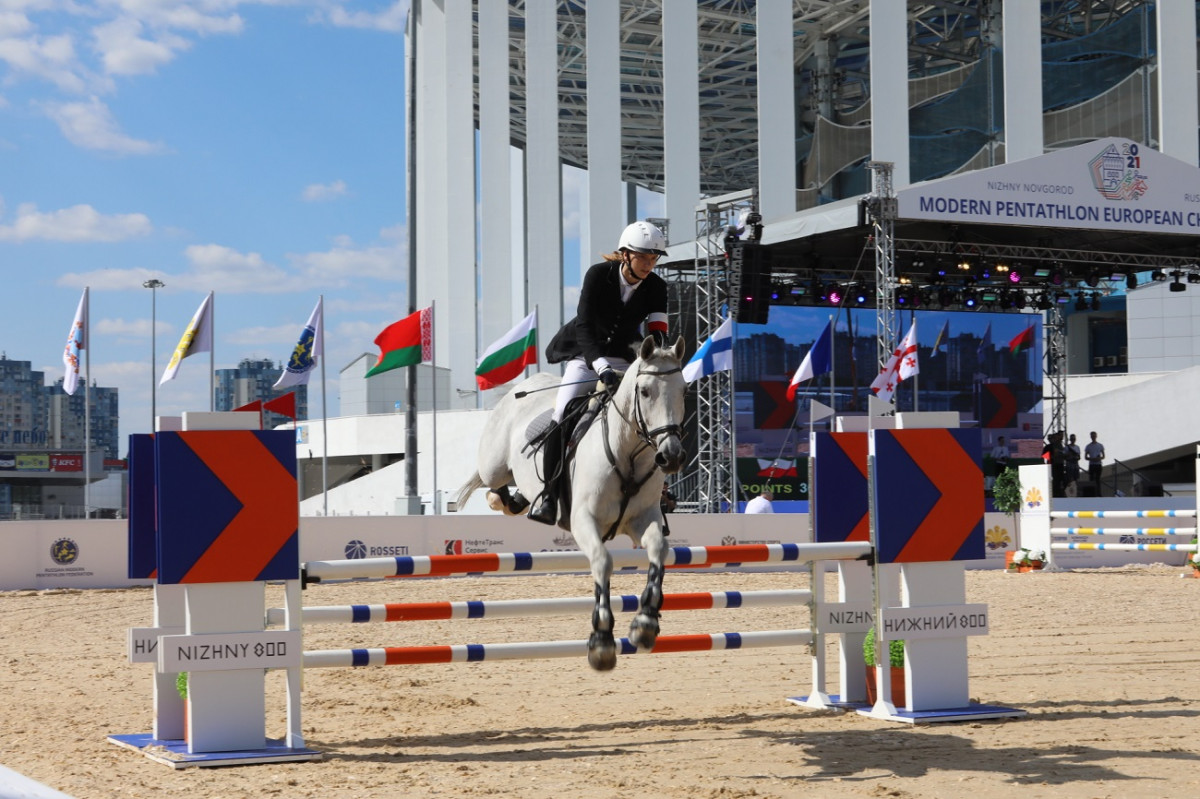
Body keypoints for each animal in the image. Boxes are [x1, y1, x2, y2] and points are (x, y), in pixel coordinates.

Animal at [456, 333, 691, 667]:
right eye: (645, 391)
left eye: (684, 391)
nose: (671, 457)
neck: (628, 453)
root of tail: (517, 389)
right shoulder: (583, 521)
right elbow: (603, 562)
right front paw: (602, 641)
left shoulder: (644, 519)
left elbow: (659, 551)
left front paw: (645, 625)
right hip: (494, 466)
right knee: (493, 485)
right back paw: (510, 500)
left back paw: (523, 499)